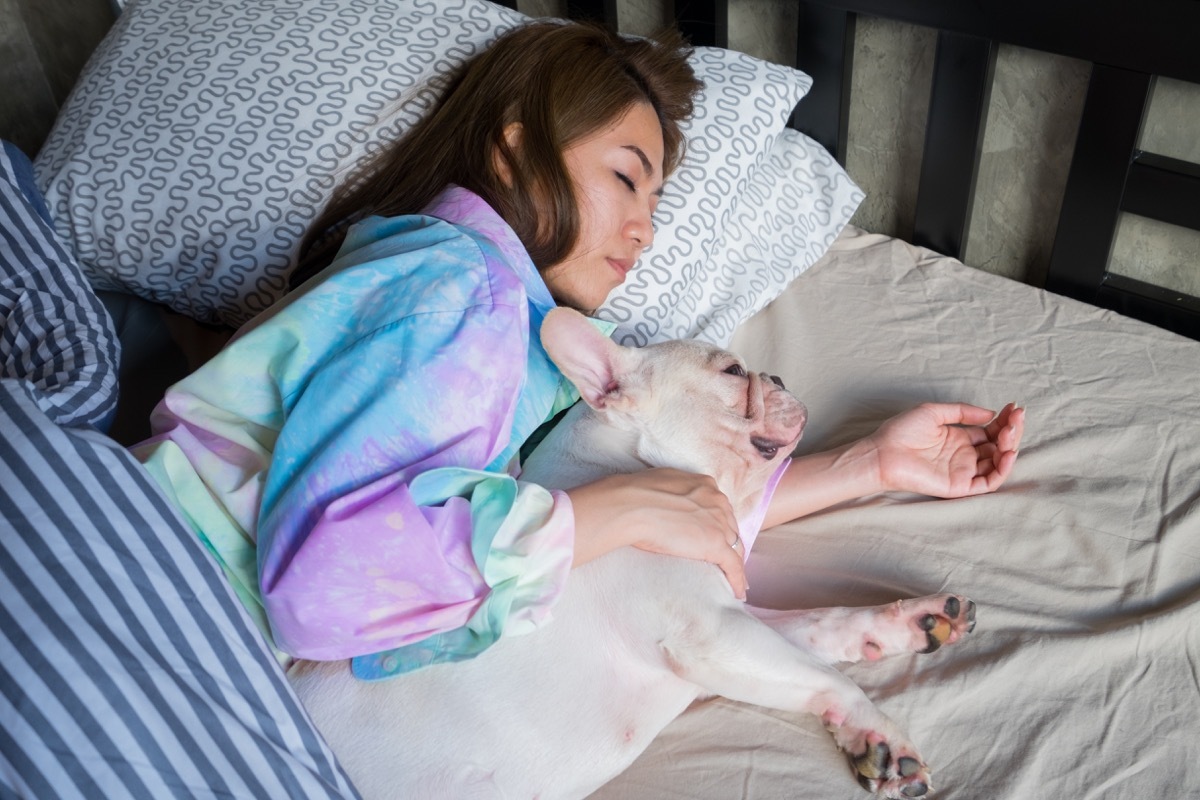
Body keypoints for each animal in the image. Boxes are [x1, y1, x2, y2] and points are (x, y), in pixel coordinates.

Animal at [290, 309, 974, 800]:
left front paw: (911, 622)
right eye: (732, 373)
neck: (634, 467)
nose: (778, 378)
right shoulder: (714, 635)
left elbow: (825, 624)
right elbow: (827, 675)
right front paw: (880, 735)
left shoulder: (739, 622)